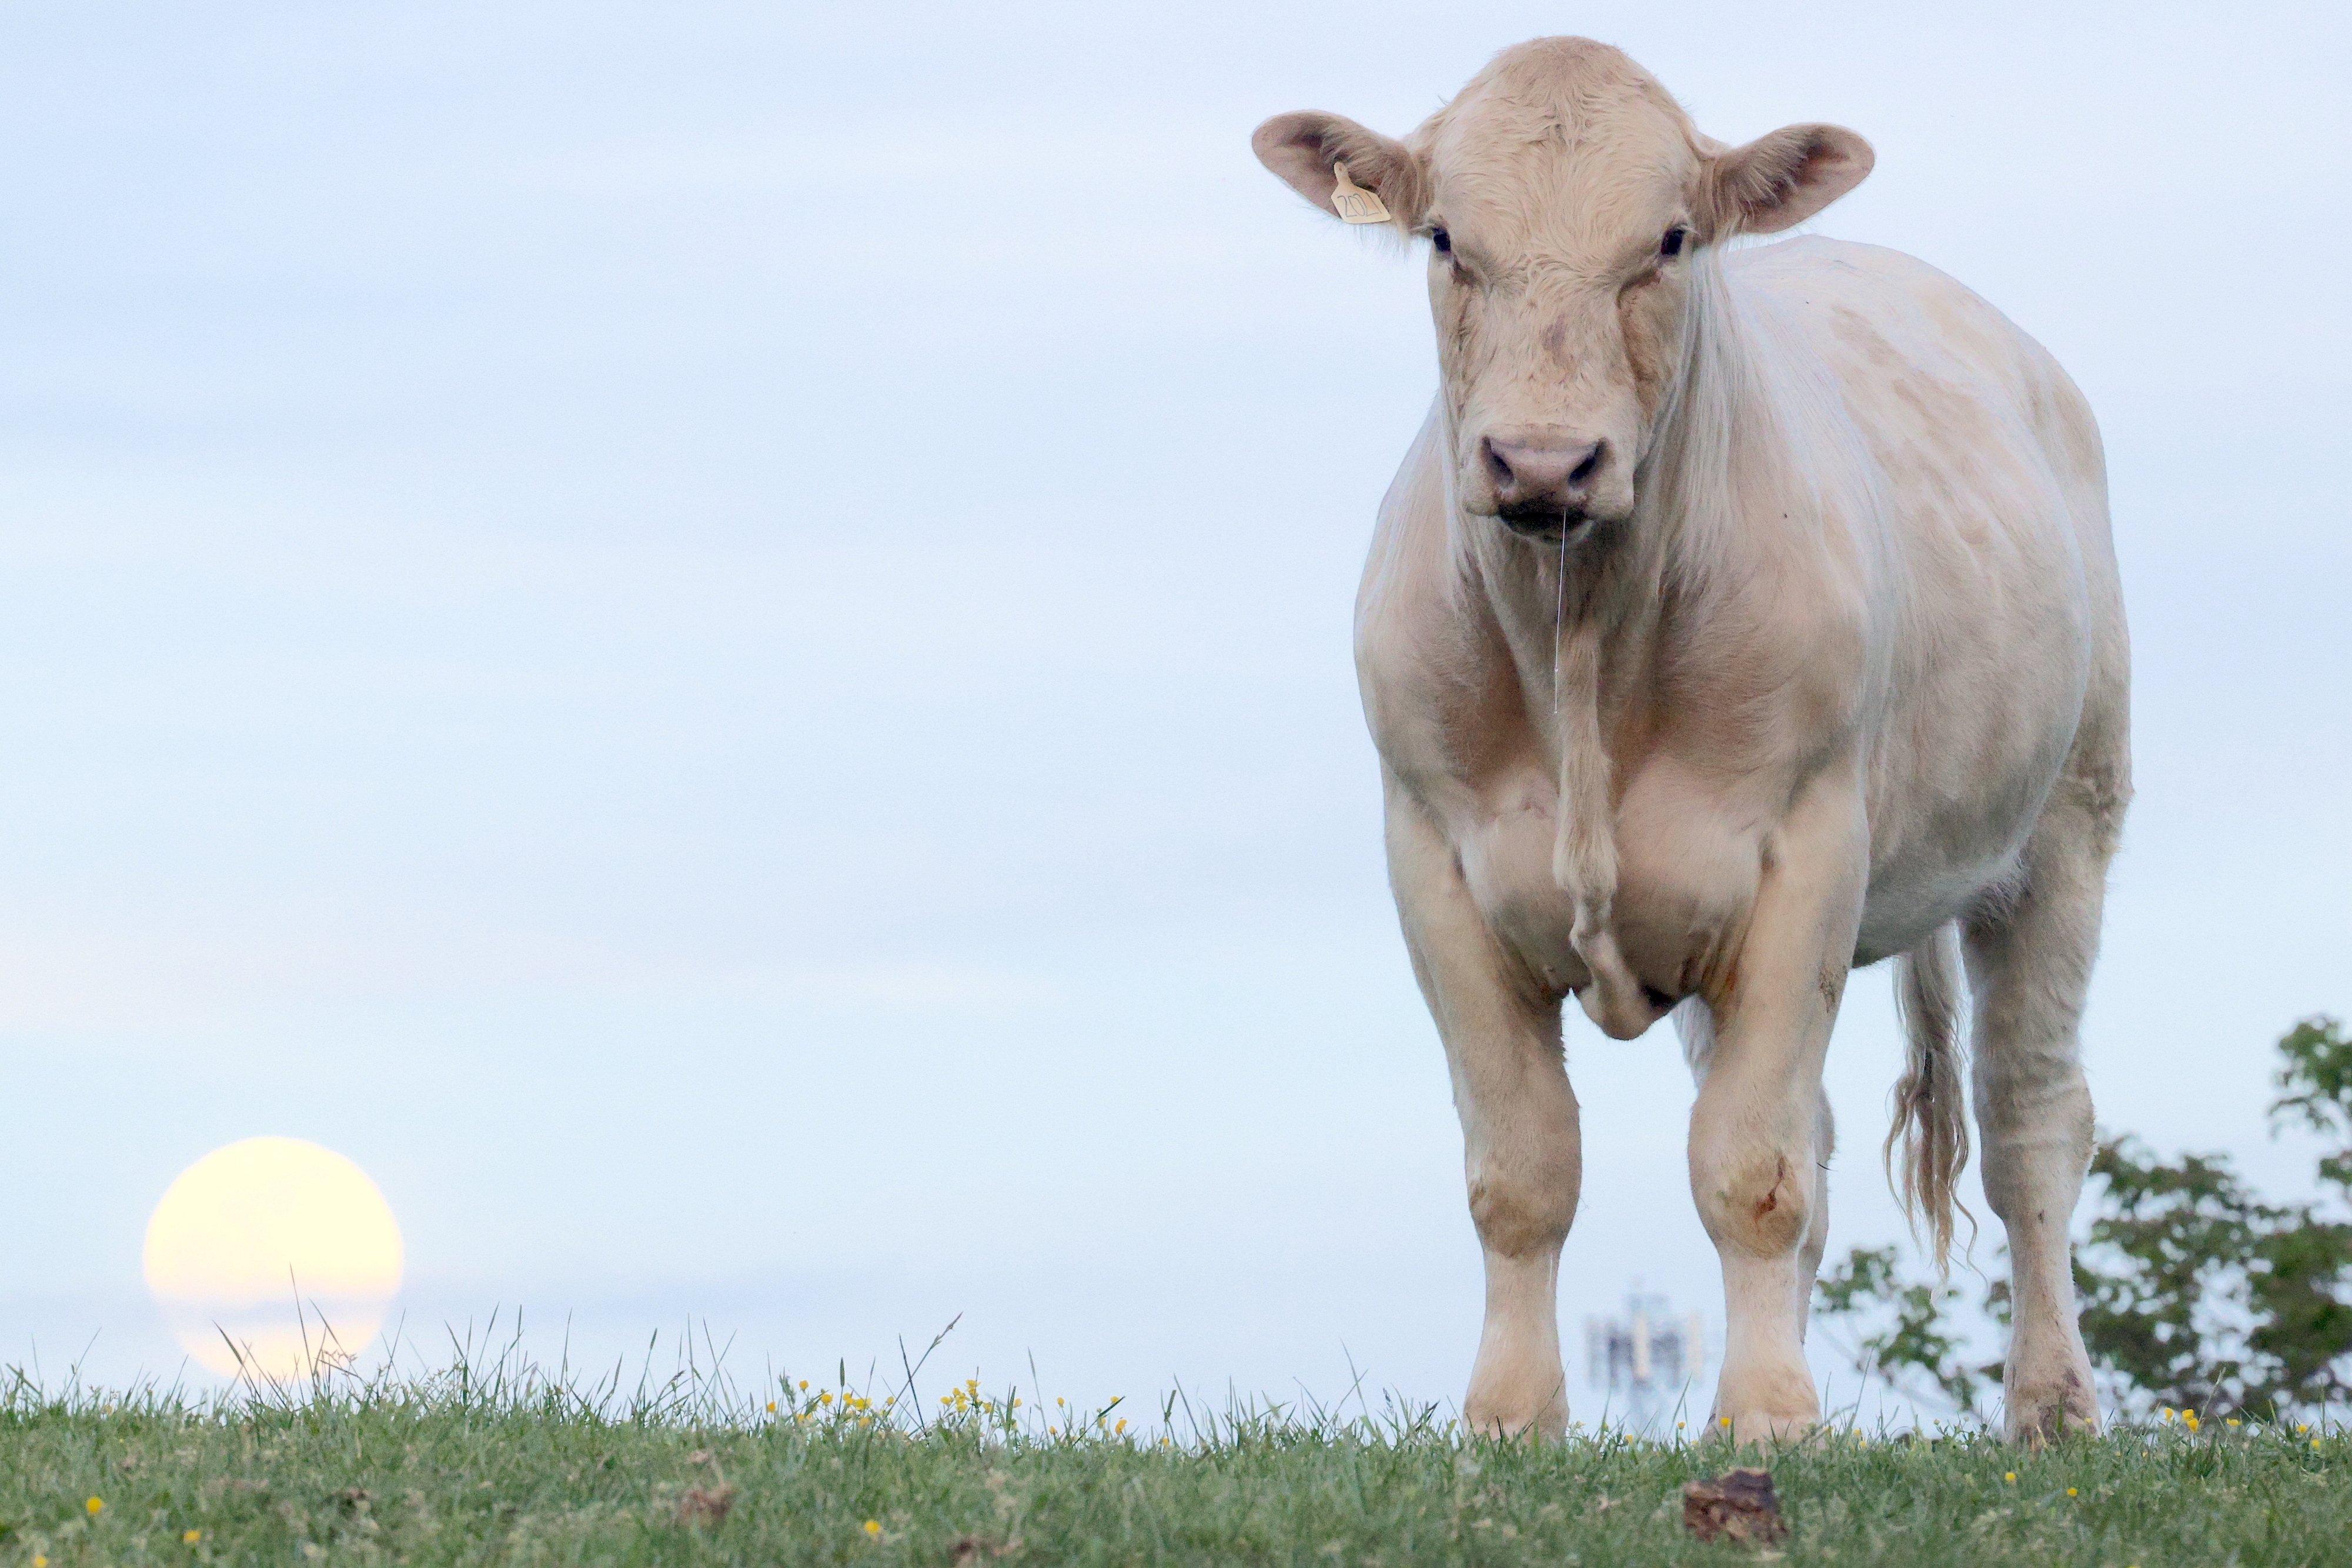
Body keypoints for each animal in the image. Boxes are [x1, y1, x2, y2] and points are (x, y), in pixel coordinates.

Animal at [1251, 38, 2129, 1444]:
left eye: (1666, 241)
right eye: (1444, 238)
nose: (1540, 462)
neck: (1582, 651)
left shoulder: (1806, 855)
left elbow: (1749, 1168)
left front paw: (1764, 1416)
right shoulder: (1432, 861)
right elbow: (1522, 1167)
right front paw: (1514, 1418)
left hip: (2064, 830)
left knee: (2028, 1119)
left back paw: (2049, 1406)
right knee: (1830, 1137)